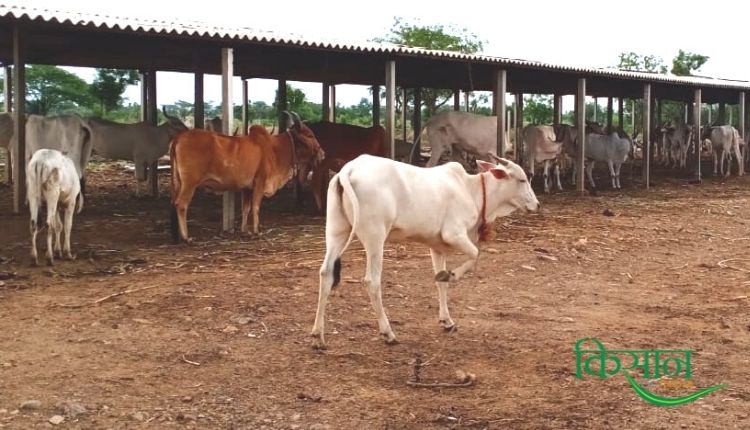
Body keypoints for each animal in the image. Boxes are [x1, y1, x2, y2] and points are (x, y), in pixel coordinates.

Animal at [172, 111, 324, 242]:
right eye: (309, 135)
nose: (322, 153)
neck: (275, 149)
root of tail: (178, 138)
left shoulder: (246, 188)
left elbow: (246, 209)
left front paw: (244, 230)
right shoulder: (260, 182)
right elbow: (256, 207)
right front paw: (257, 231)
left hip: (179, 183)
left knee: (175, 203)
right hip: (190, 183)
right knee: (181, 205)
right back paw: (186, 237)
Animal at [312, 153, 540, 348]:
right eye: (522, 180)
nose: (537, 204)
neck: (471, 190)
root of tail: (348, 170)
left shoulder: (437, 247)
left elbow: (440, 283)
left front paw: (446, 319)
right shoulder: (454, 234)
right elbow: (475, 255)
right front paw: (453, 275)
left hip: (336, 231)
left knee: (326, 273)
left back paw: (317, 336)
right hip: (375, 236)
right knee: (372, 281)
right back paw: (388, 333)